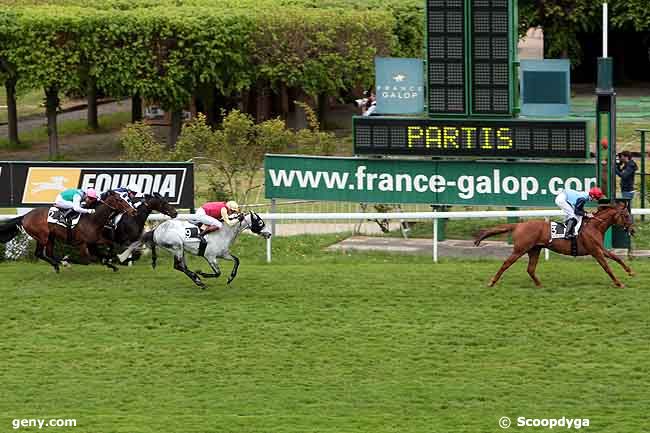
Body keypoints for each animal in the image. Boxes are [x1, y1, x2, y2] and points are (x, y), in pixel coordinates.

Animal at [0, 192, 135, 272]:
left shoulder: (95, 240)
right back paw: (61, 263)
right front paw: (67, 261)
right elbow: (87, 260)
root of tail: (25, 216)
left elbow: (110, 246)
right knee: (40, 253)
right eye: (120, 200)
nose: (133, 211)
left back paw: (57, 265)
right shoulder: (83, 244)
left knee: (48, 253)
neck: (92, 219)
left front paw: (113, 262)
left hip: (50, 237)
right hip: (43, 237)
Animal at [116, 212, 270, 288]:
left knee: (181, 266)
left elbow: (236, 261)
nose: (269, 234)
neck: (223, 231)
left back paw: (197, 280)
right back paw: (198, 280)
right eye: (260, 222)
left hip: (179, 249)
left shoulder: (223, 254)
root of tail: (156, 230)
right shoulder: (210, 257)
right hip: (177, 246)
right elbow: (218, 273)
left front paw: (230, 278)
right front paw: (201, 273)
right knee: (179, 266)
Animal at [470, 202, 632, 286]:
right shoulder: (595, 251)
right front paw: (619, 283)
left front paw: (630, 272)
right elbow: (607, 267)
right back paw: (492, 282)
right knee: (506, 264)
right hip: (520, 249)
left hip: (534, 250)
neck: (594, 226)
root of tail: (518, 225)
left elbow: (617, 258)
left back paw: (540, 285)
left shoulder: (600, 248)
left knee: (530, 269)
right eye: (625, 215)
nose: (632, 229)